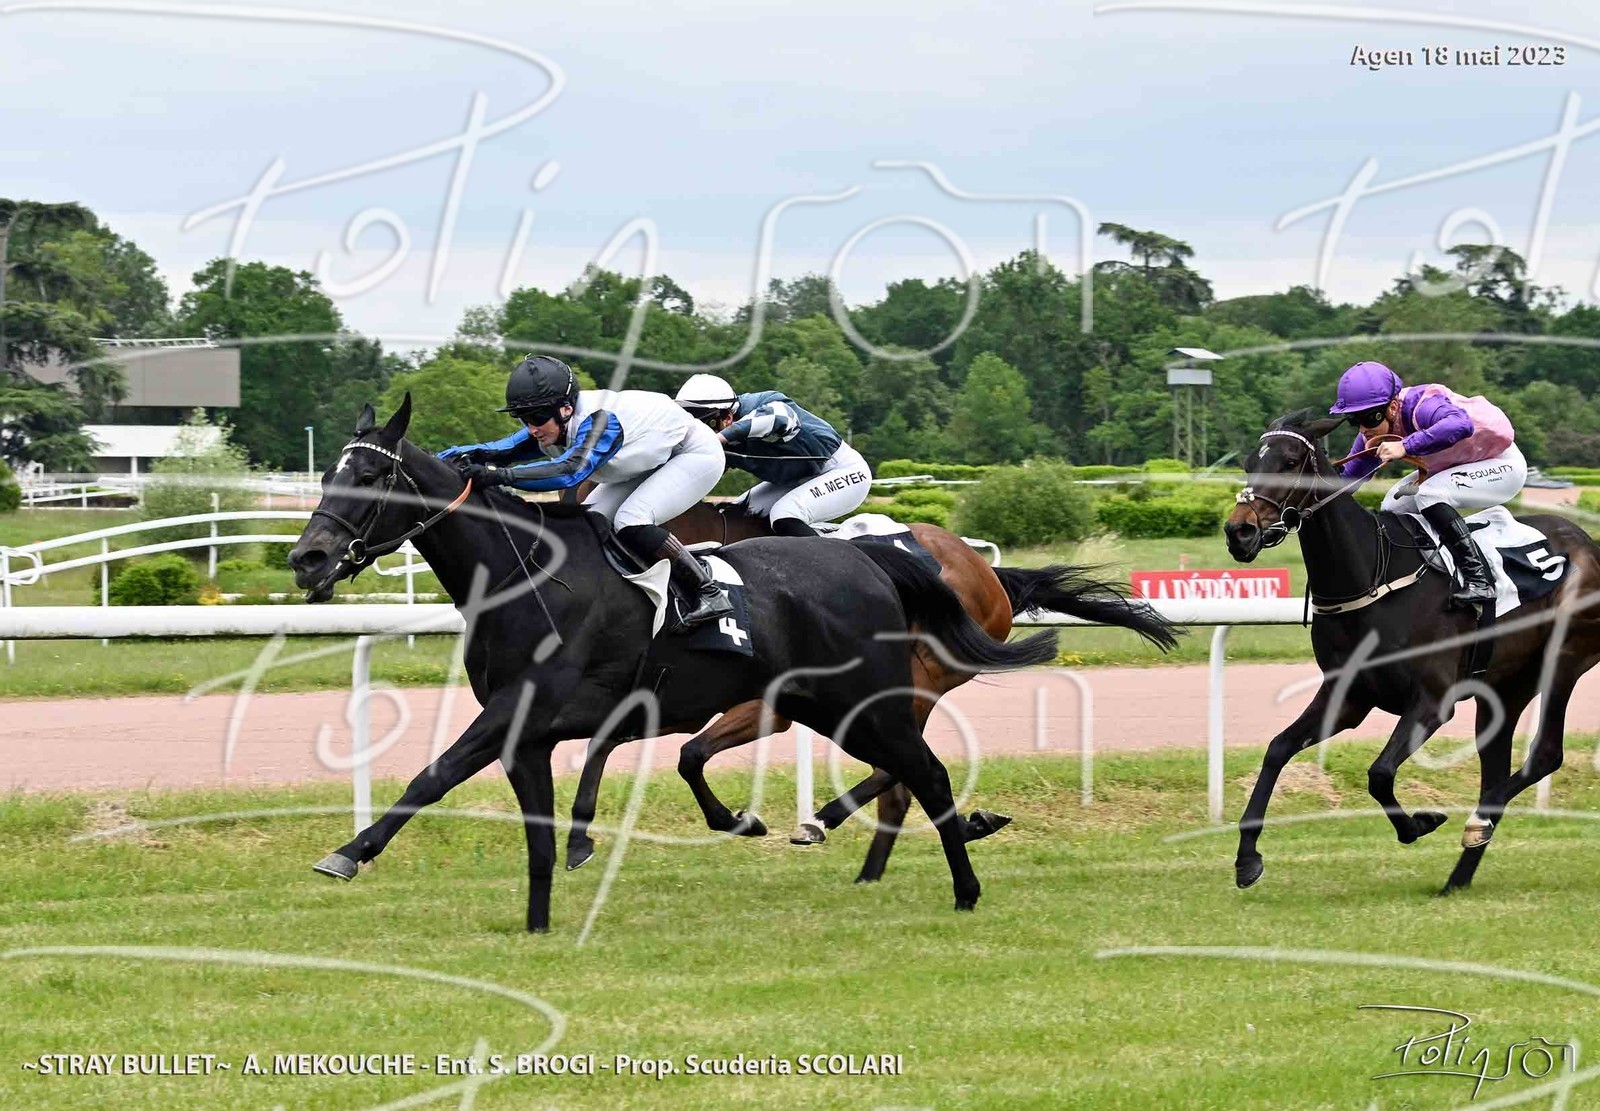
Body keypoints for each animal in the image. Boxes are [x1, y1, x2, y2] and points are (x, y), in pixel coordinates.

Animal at [288, 395, 1062, 930]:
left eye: (368, 475)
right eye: (326, 475)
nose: (308, 558)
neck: (527, 570)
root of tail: (873, 559)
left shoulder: (526, 710)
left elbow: (435, 773)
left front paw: (349, 851)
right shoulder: (534, 730)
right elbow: (542, 822)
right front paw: (542, 916)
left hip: (866, 699)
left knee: (923, 773)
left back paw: (961, 886)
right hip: (828, 704)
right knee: (905, 777)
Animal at [563, 500, 1180, 881]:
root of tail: (988, 573)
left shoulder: (764, 704)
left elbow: (690, 752)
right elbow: (674, 749)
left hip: (921, 676)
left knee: (902, 768)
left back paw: (834, 823)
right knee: (902, 773)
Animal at [1222, 410, 1600, 894]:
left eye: (1289, 462)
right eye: (1250, 461)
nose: (1239, 531)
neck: (1372, 576)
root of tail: (1587, 543)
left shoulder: (1433, 701)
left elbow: (1380, 774)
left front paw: (1419, 824)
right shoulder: (1348, 696)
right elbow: (1277, 749)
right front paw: (1247, 859)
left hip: (1562, 661)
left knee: (1545, 754)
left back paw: (1476, 824)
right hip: (1505, 688)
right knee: (1497, 768)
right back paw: (1458, 877)